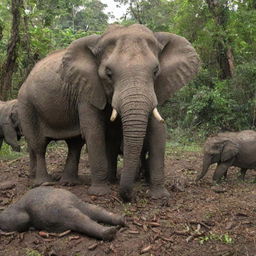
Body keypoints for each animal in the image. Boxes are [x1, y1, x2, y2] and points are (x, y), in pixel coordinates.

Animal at [18, 24, 200, 201]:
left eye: (156, 71)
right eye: (109, 73)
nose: (130, 197)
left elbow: (157, 130)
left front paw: (160, 196)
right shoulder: (86, 90)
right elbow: (94, 131)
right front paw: (100, 192)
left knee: (74, 144)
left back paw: (69, 183)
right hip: (26, 104)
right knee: (39, 145)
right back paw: (43, 183)